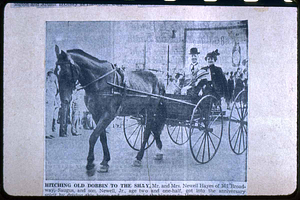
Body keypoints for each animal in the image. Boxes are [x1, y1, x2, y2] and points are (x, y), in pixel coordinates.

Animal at [54, 45, 166, 173]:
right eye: (56, 72)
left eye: (65, 72)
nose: (65, 100)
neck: (100, 81)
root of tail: (159, 79)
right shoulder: (96, 114)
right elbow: (102, 137)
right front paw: (105, 161)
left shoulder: (108, 114)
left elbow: (93, 136)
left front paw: (90, 162)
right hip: (143, 110)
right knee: (153, 128)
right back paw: (159, 150)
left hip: (151, 109)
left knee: (147, 130)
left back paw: (139, 157)